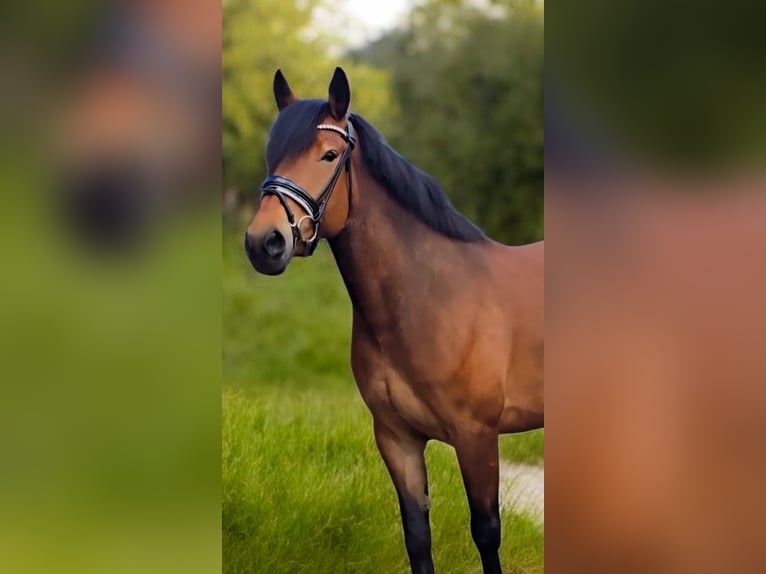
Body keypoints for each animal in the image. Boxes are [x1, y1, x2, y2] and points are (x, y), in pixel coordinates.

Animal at [245, 67, 544, 574]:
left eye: (328, 154)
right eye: (272, 153)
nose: (264, 243)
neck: (428, 297)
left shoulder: (476, 436)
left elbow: (487, 533)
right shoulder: (397, 440)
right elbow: (417, 538)